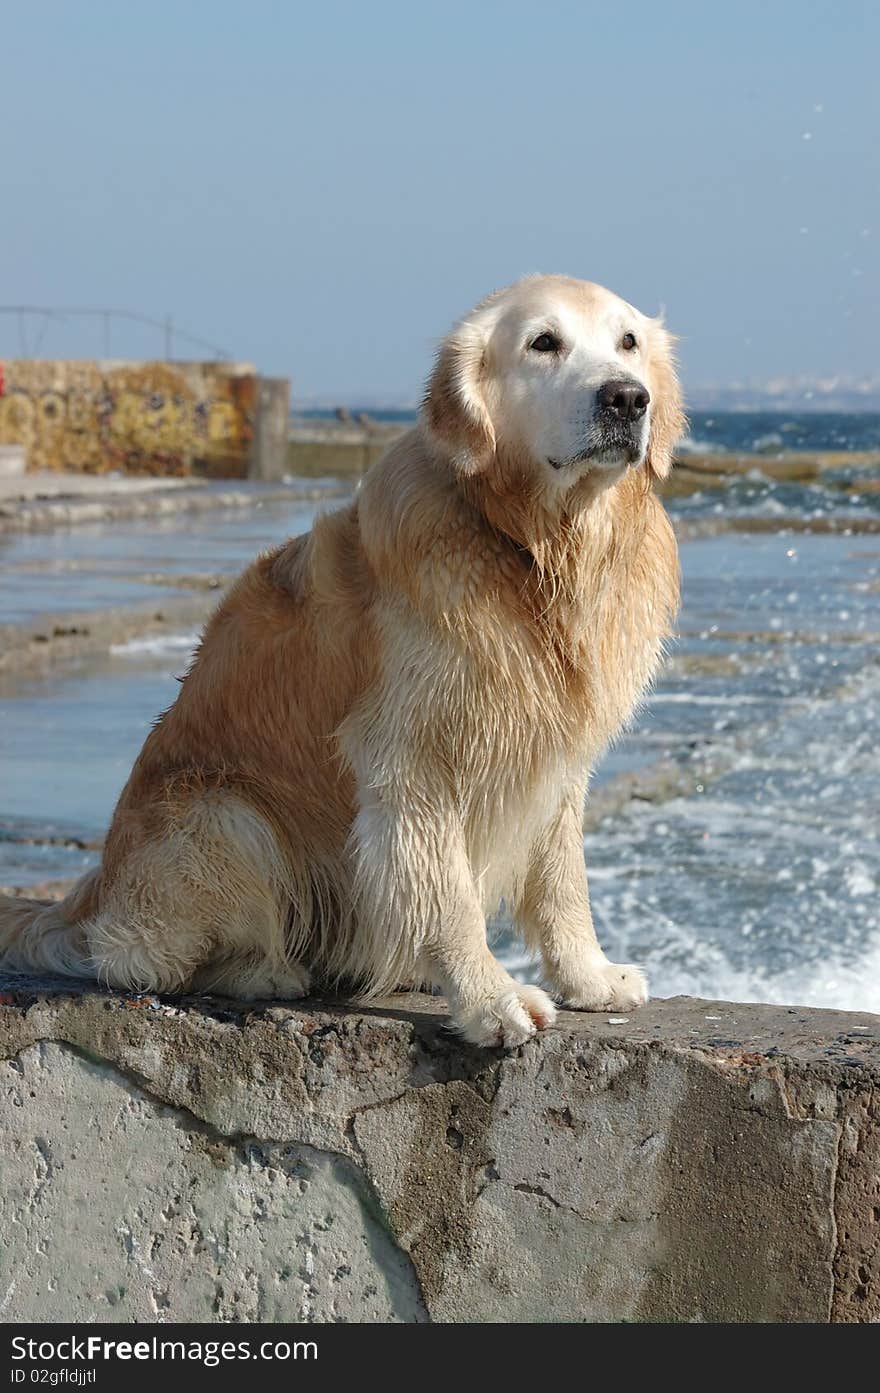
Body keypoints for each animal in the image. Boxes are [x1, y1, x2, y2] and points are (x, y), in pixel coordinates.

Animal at [0, 277, 685, 1047]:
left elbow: (564, 882)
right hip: (222, 816)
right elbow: (449, 895)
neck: (533, 548)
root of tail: (89, 896)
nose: (627, 398)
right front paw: (491, 999)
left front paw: (590, 978)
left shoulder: (556, 757)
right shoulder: (412, 759)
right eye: (544, 343)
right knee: (138, 961)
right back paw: (264, 970)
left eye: (628, 342)